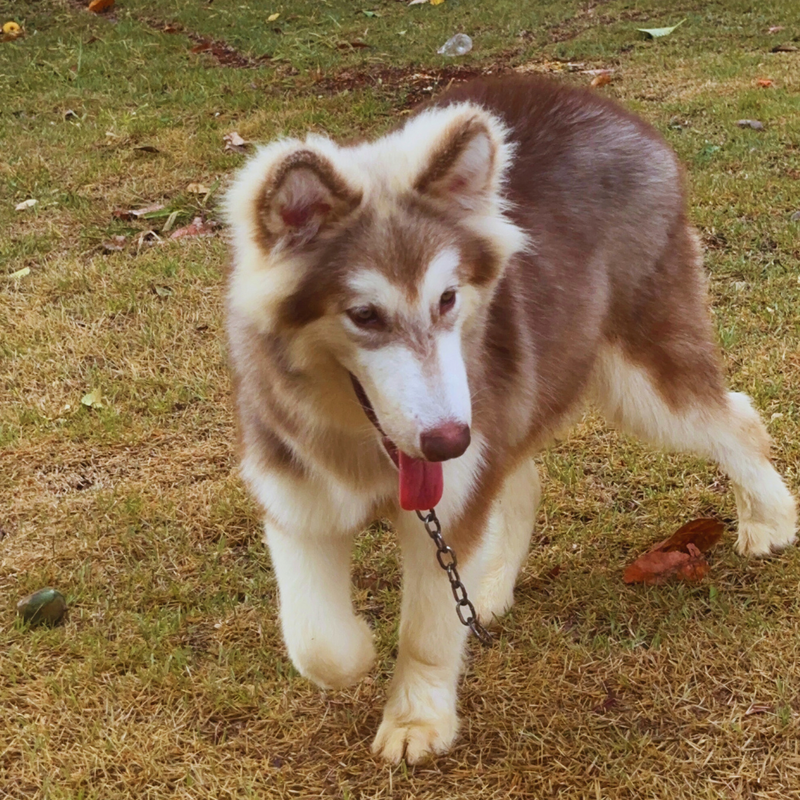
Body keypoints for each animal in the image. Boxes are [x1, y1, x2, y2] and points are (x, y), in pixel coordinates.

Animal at [222, 73, 796, 764]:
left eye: (447, 299)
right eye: (363, 315)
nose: (446, 441)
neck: (363, 444)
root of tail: (603, 104)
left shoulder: (451, 490)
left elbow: (428, 628)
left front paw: (417, 718)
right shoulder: (297, 495)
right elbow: (315, 643)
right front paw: (359, 646)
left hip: (637, 376)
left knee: (735, 418)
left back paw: (770, 520)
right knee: (521, 476)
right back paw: (491, 585)